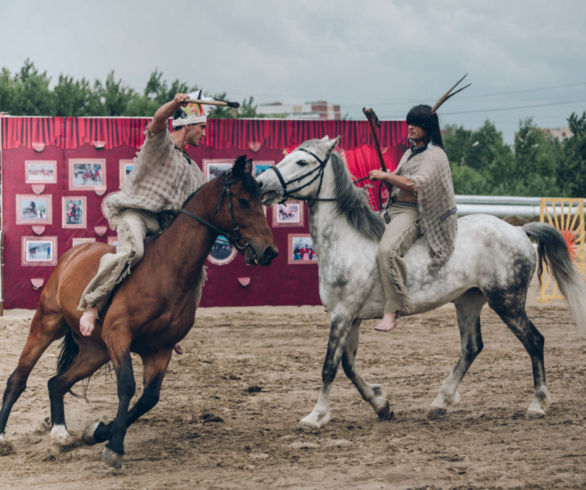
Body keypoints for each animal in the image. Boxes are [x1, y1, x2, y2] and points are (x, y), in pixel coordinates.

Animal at [0, 156, 278, 468]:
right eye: (242, 200)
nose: (269, 251)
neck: (167, 269)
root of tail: (73, 254)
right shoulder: (119, 335)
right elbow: (127, 386)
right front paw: (114, 446)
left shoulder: (160, 349)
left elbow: (149, 398)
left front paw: (99, 432)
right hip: (46, 323)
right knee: (18, 379)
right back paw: (4, 437)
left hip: (95, 352)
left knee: (56, 382)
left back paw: (60, 432)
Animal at [256, 136, 584, 426]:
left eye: (301, 162)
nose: (260, 183)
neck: (345, 241)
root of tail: (518, 230)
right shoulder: (351, 317)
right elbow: (348, 366)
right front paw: (381, 404)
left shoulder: (343, 314)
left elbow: (330, 367)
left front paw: (316, 416)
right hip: (468, 300)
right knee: (471, 347)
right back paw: (440, 403)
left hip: (507, 301)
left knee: (534, 341)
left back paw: (538, 404)